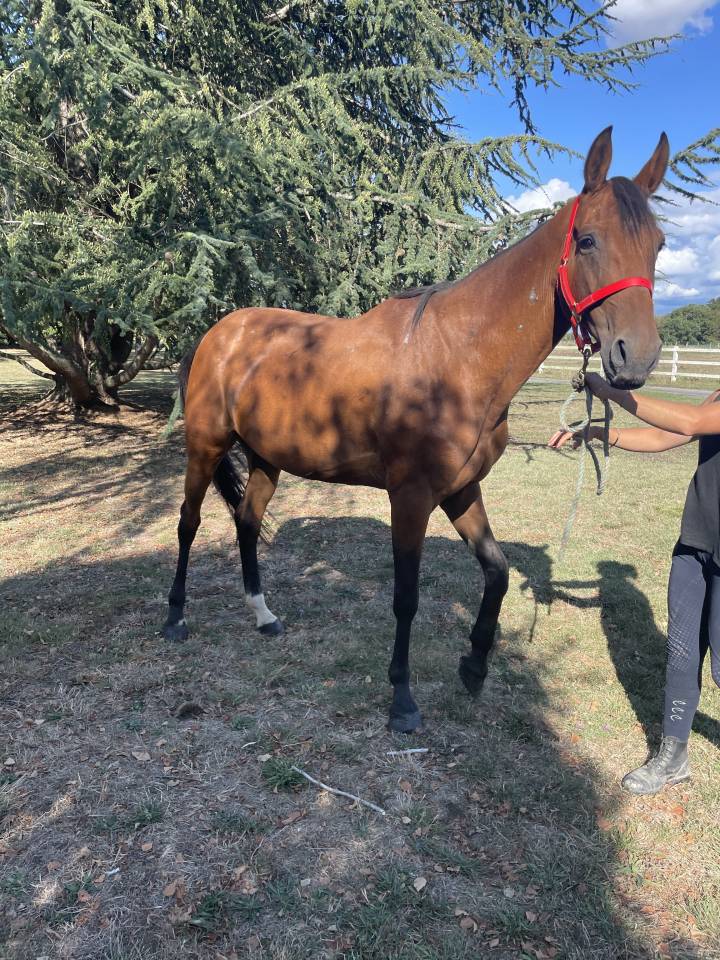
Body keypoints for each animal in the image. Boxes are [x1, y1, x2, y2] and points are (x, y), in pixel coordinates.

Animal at [162, 126, 668, 732]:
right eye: (588, 241)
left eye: (659, 244)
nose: (637, 357)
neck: (457, 357)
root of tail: (218, 333)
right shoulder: (410, 496)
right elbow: (406, 597)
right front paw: (402, 699)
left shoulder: (460, 490)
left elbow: (497, 572)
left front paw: (474, 665)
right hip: (205, 447)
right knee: (189, 523)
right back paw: (174, 619)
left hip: (267, 458)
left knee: (246, 521)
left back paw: (263, 615)